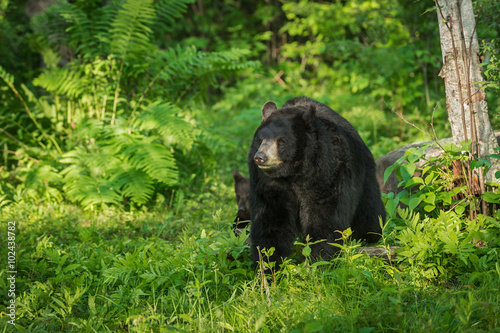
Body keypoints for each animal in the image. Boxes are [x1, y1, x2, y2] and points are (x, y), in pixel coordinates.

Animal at [248, 96, 384, 264]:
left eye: (281, 141)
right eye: (260, 140)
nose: (260, 157)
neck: (293, 173)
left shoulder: (327, 169)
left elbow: (324, 215)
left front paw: (319, 259)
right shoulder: (267, 182)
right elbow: (271, 217)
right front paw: (269, 263)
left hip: (364, 175)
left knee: (370, 215)